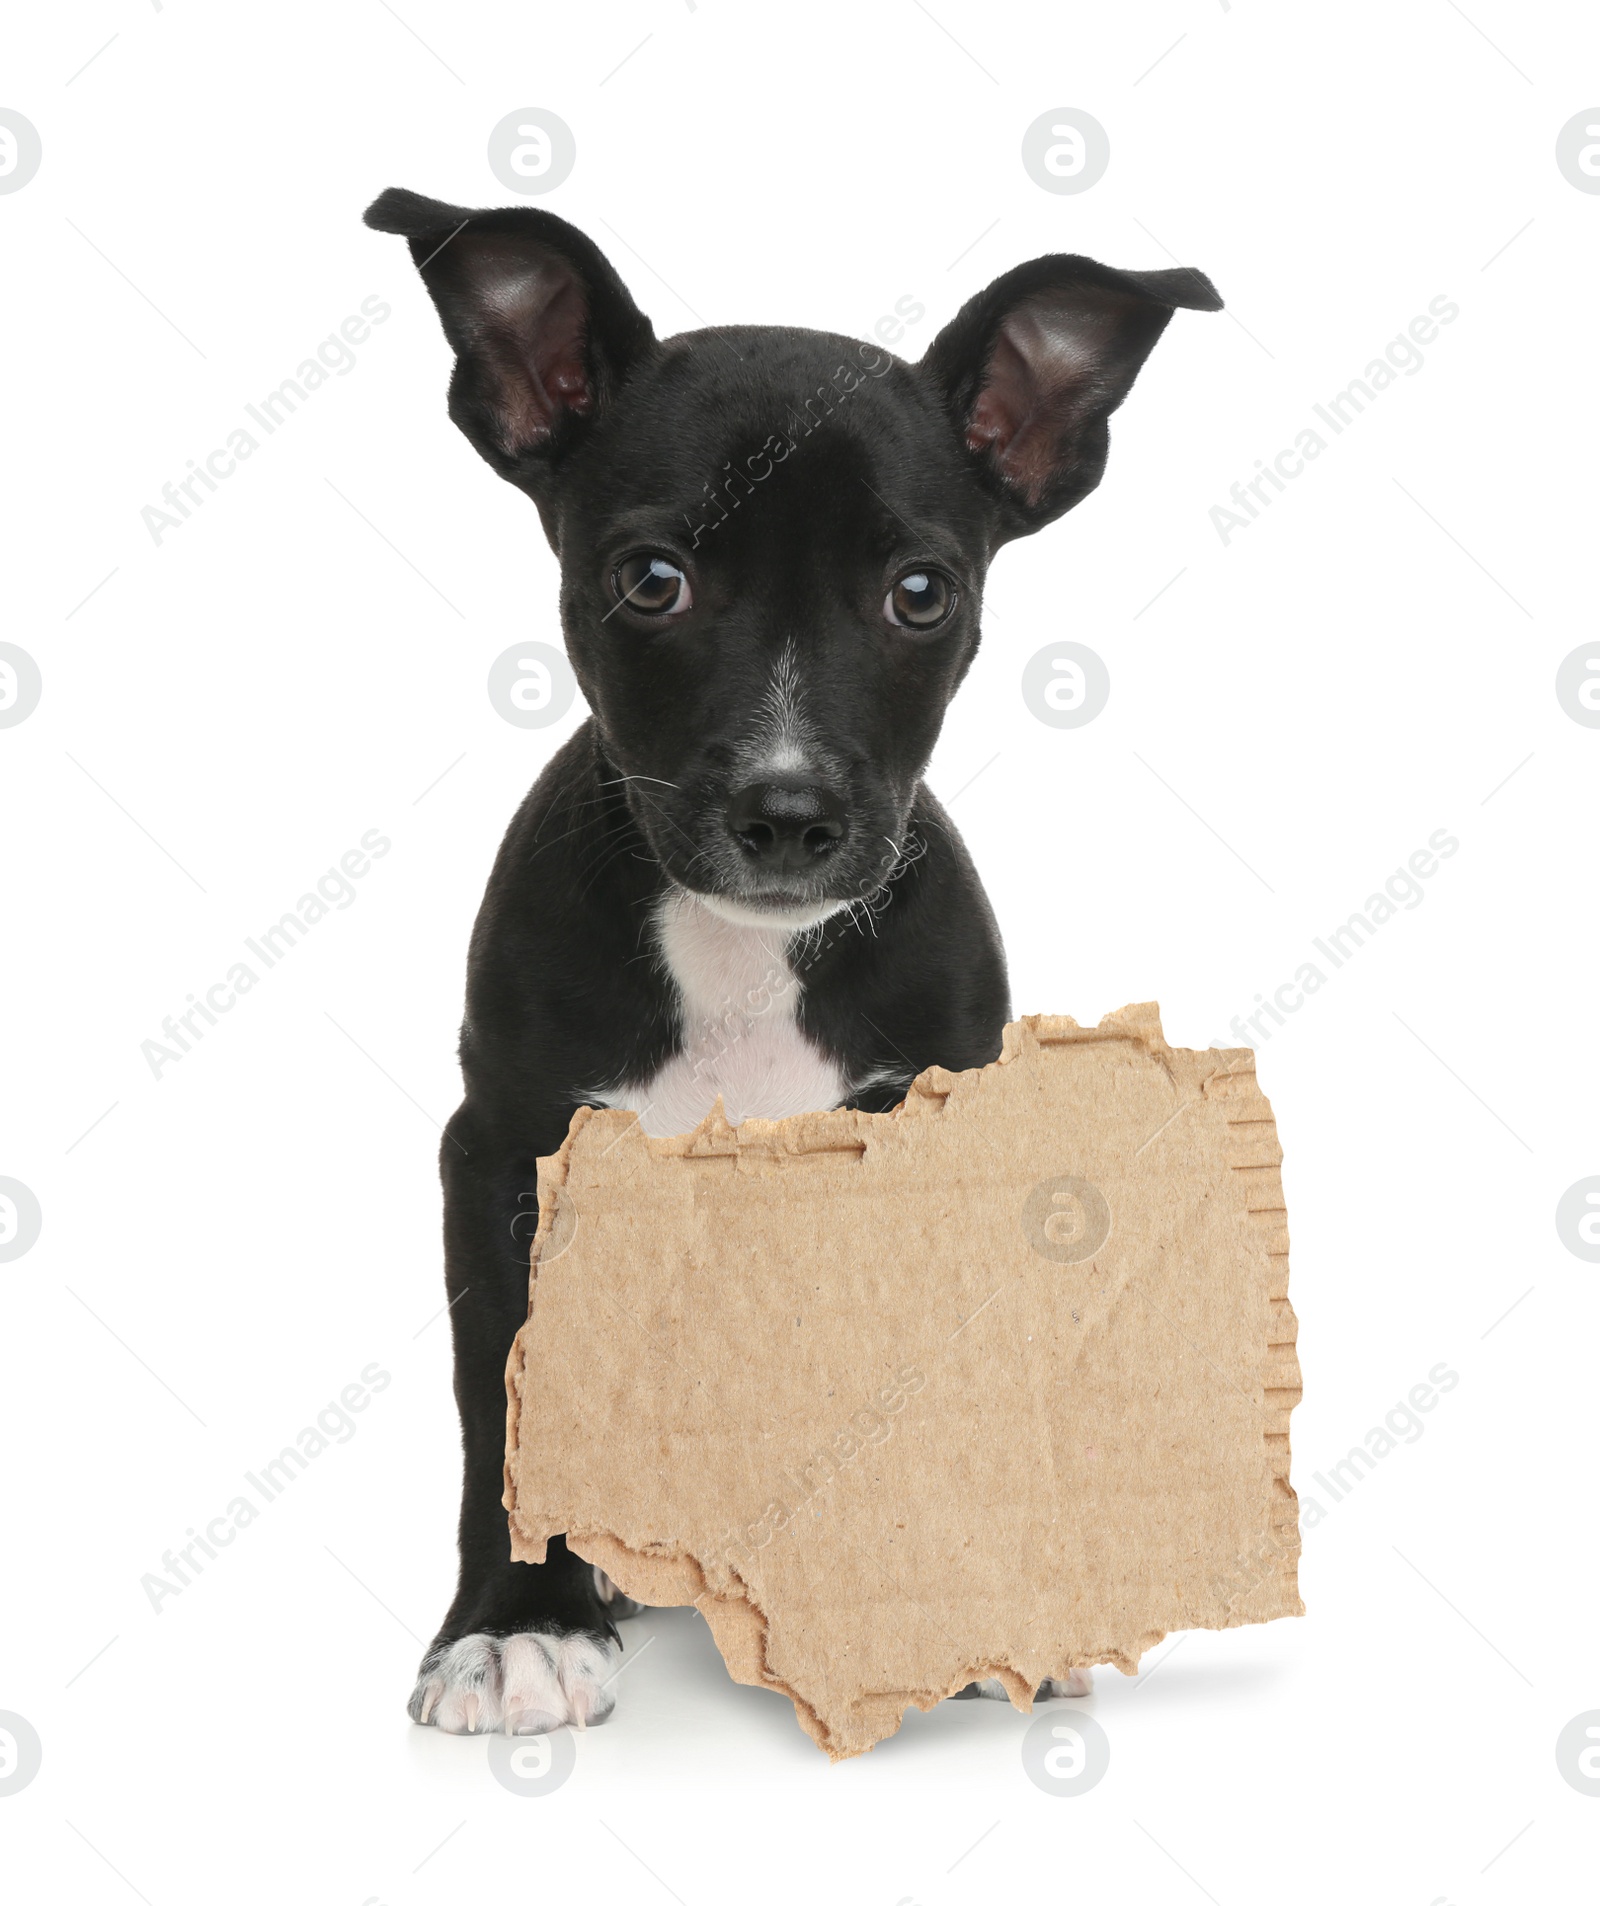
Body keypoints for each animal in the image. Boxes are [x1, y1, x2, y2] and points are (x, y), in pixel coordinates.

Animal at [360, 185, 1212, 1738]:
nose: (790, 810)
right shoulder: (502, 1153)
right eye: (650, 580)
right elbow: (503, 1400)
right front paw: (516, 1622)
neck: (745, 959)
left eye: (922, 591)